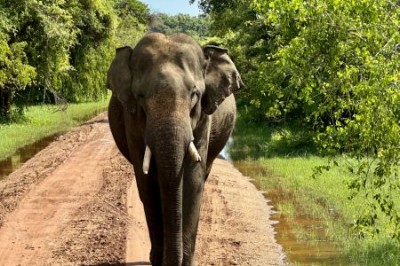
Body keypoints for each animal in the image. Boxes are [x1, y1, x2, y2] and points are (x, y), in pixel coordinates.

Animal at [106, 33, 242, 266]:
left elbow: (193, 181)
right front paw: (159, 260)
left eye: (195, 94)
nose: (172, 260)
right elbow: (147, 183)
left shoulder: (203, 118)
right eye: (140, 96)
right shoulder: (131, 119)